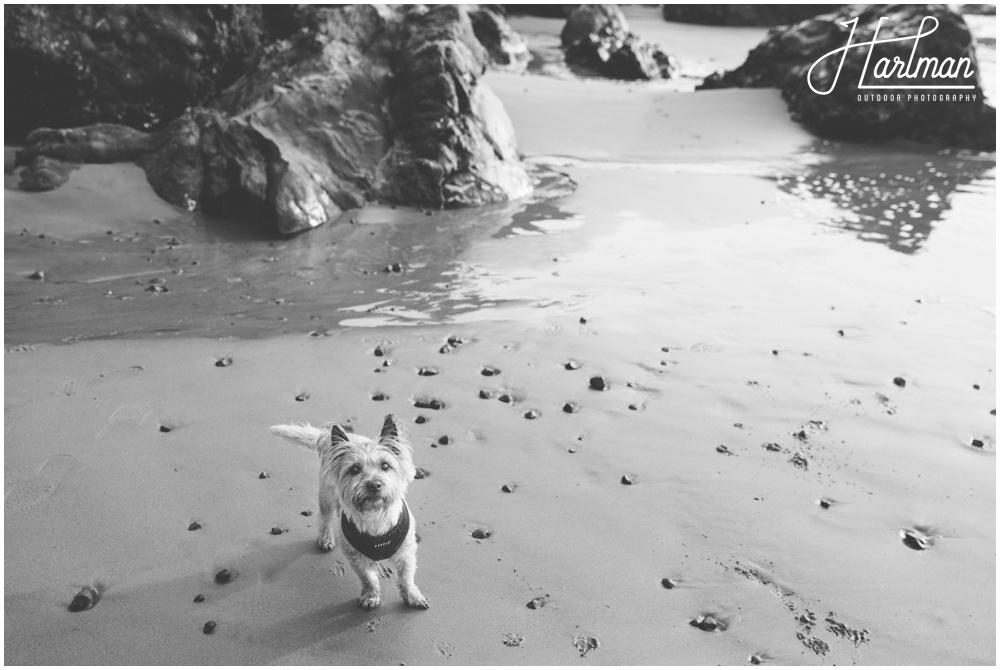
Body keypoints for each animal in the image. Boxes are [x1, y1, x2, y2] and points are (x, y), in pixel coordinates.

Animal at [270, 412, 430, 612]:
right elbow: (368, 577)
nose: (374, 485)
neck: (375, 515)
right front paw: (371, 596)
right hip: (326, 495)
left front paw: (412, 596)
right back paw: (326, 538)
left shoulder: (406, 553)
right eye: (354, 469)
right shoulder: (355, 556)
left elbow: (406, 577)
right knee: (324, 518)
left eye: (385, 466)